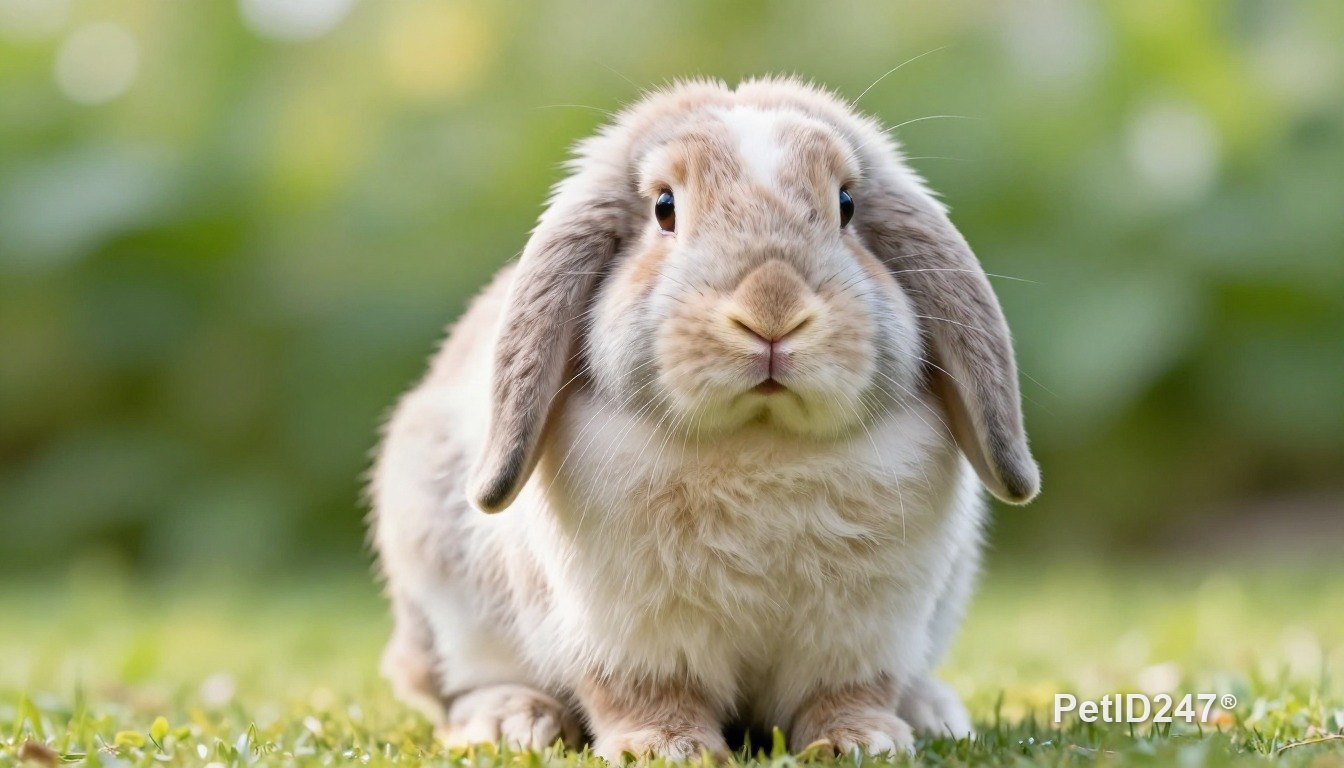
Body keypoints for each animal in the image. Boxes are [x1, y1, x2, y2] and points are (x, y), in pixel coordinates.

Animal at [369, 76, 1038, 761]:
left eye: (847, 204)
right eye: (665, 207)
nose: (772, 308)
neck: (759, 443)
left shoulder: (866, 632)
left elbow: (847, 692)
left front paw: (862, 741)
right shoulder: (624, 634)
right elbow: (644, 692)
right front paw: (662, 749)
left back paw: (933, 712)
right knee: (455, 685)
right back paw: (512, 721)